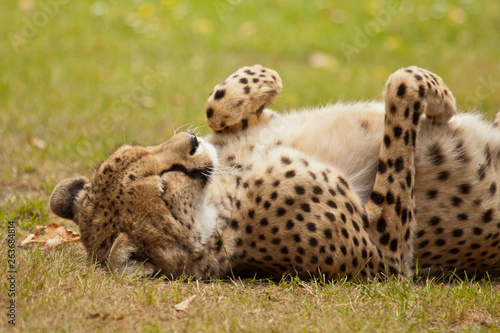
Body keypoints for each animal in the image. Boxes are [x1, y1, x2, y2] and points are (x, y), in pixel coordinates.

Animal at [50, 65, 500, 278]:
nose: (191, 144)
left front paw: (260, 79)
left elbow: (217, 105)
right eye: (163, 187)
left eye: (143, 151)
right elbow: (399, 87)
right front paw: (438, 98)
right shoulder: (386, 259)